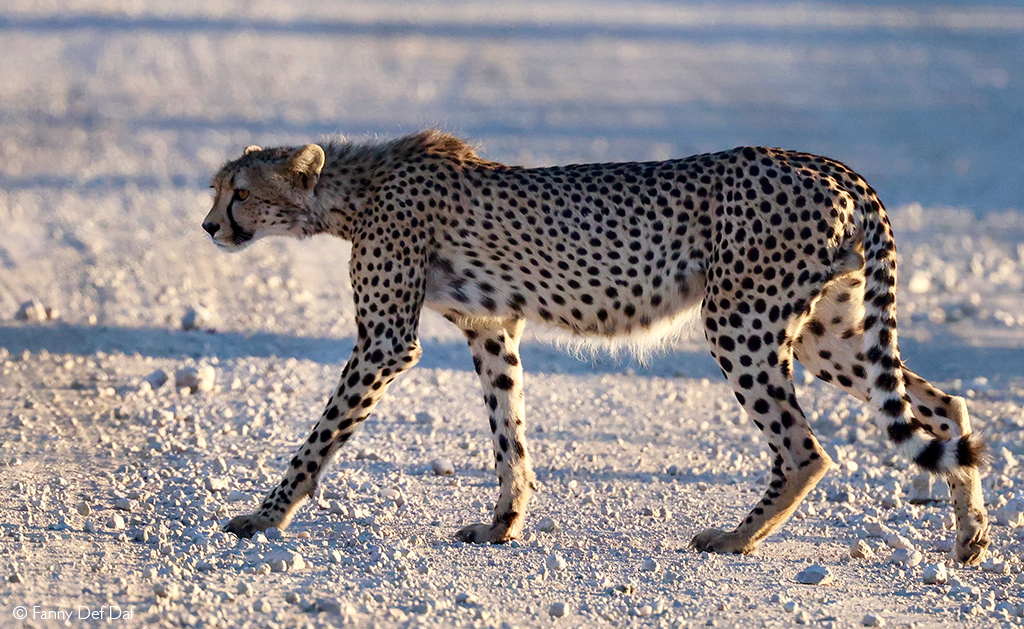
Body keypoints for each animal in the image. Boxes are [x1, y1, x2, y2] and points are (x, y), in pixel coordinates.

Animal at [202, 130, 990, 563]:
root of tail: (830, 165)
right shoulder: (492, 329)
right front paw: (503, 525)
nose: (209, 227)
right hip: (828, 331)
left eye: (238, 192)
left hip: (740, 320)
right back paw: (969, 541)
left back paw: (736, 539)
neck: (353, 189)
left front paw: (264, 515)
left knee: (807, 449)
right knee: (943, 406)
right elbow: (509, 434)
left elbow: (319, 437)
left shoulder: (388, 341)